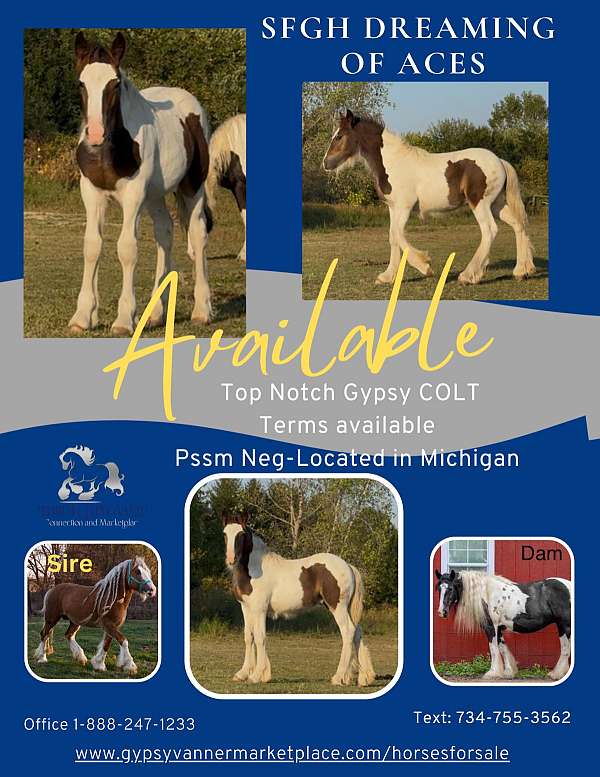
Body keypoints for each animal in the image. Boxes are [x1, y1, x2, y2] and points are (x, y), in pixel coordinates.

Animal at [69, 31, 213, 336]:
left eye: (115, 84)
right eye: (81, 84)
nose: (95, 134)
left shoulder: (133, 196)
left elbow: (127, 248)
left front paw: (124, 319)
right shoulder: (92, 194)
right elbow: (92, 246)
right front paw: (83, 316)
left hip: (192, 187)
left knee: (197, 233)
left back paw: (201, 311)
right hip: (155, 195)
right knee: (165, 233)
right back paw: (157, 314)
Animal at [222, 512, 376, 686]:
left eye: (241, 534)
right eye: (225, 534)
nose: (231, 559)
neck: (254, 569)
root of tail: (348, 566)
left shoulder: (259, 609)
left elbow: (260, 638)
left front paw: (256, 676)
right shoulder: (246, 608)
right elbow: (249, 637)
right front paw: (243, 674)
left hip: (338, 607)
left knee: (348, 632)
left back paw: (338, 677)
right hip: (344, 608)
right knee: (357, 632)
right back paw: (363, 678)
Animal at [323, 109, 536, 286]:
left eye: (339, 136)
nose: (326, 163)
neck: (394, 162)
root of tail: (500, 160)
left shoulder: (404, 207)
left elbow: (398, 235)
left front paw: (425, 266)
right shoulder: (392, 208)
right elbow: (392, 237)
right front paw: (387, 277)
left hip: (480, 204)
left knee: (490, 230)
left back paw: (468, 276)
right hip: (496, 204)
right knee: (518, 225)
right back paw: (522, 271)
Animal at [435, 569, 571, 681]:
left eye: (450, 588)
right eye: (439, 589)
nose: (442, 612)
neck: (487, 593)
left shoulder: (491, 627)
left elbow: (493, 649)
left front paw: (492, 673)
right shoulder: (499, 628)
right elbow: (502, 648)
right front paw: (508, 672)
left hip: (565, 625)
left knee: (566, 648)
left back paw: (556, 674)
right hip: (561, 625)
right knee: (565, 648)